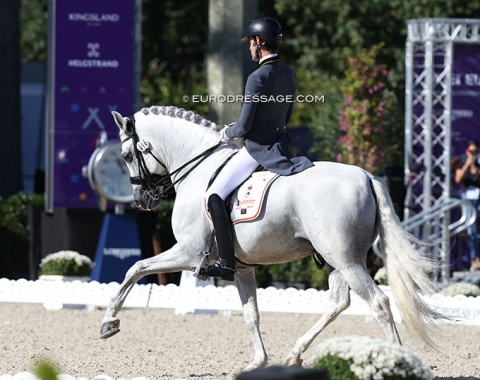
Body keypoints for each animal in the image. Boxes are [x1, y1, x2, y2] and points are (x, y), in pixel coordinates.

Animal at [99, 105, 444, 370]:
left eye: (126, 154)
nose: (142, 201)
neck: (199, 171)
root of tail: (367, 176)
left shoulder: (188, 252)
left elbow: (135, 269)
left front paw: (109, 323)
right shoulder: (240, 268)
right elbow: (251, 315)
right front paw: (258, 362)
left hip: (346, 261)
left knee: (379, 303)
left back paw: (396, 359)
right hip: (341, 259)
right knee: (339, 302)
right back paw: (295, 353)